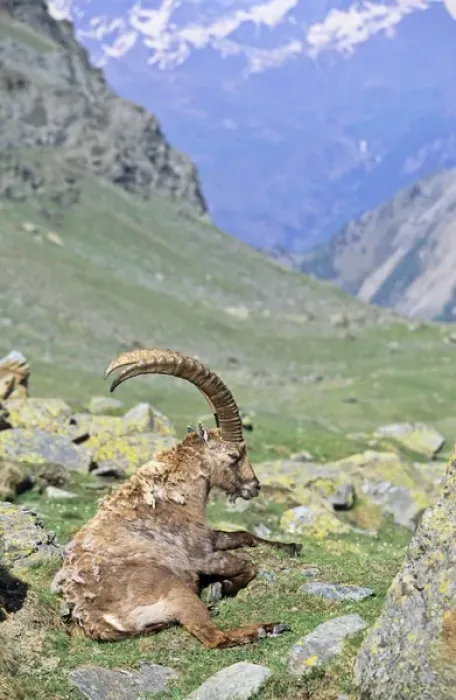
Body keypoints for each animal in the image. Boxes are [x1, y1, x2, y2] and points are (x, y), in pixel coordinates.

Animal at [52, 348, 301, 649]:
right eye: (234, 455)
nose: (254, 486)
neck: (172, 496)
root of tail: (93, 619)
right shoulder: (201, 557)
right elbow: (247, 564)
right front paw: (221, 587)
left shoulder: (207, 537)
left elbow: (245, 535)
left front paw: (291, 545)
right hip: (178, 592)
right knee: (213, 637)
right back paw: (268, 627)